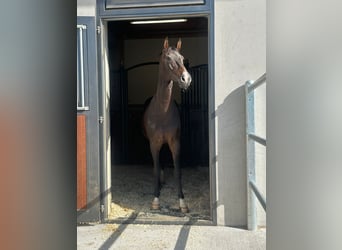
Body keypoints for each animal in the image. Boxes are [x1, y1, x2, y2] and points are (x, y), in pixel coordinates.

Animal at [142, 37, 192, 213]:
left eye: (182, 58)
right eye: (168, 58)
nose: (186, 79)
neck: (162, 112)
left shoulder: (175, 143)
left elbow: (178, 172)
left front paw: (182, 202)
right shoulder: (153, 144)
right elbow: (156, 170)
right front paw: (156, 200)